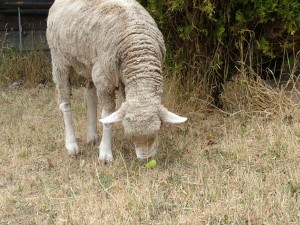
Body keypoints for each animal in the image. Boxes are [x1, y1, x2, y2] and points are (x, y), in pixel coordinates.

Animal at [46, 0, 188, 163]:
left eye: (158, 131)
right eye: (130, 136)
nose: (145, 160)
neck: (139, 53)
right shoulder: (104, 79)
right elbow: (107, 116)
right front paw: (105, 154)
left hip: (90, 65)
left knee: (90, 96)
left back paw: (91, 136)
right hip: (59, 59)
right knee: (64, 103)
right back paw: (72, 145)